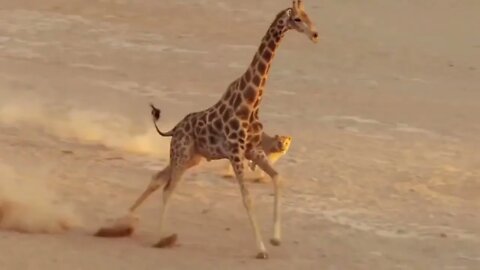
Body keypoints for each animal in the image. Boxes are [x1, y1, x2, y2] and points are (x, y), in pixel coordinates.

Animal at [94, 0, 318, 258]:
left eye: (309, 16)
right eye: (298, 19)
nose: (315, 34)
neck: (251, 102)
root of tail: (174, 130)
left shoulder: (252, 150)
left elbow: (277, 178)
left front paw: (275, 239)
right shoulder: (235, 152)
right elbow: (247, 198)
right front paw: (261, 249)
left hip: (192, 157)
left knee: (157, 178)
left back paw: (122, 221)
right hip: (181, 154)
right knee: (167, 188)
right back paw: (160, 237)